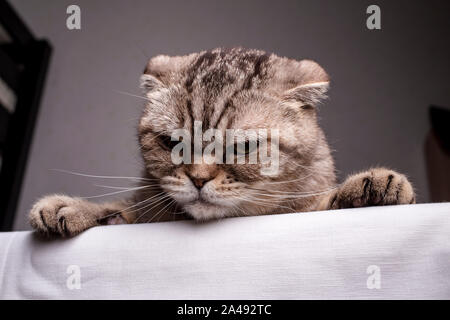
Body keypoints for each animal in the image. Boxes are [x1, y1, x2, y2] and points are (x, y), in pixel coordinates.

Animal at [28, 48, 414, 238]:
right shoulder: (143, 205)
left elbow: (322, 204)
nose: (198, 179)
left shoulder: (303, 207)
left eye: (242, 148)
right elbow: (122, 206)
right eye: (174, 142)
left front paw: (370, 185)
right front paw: (72, 207)